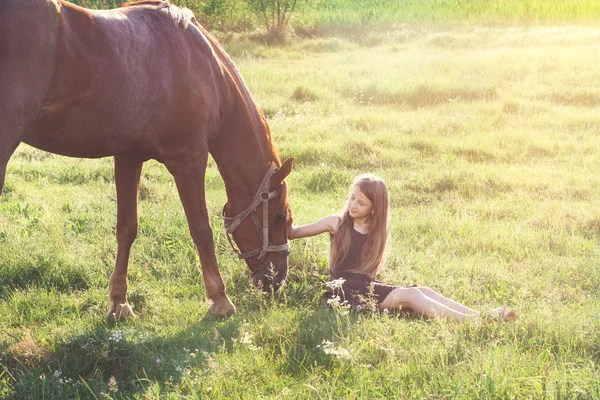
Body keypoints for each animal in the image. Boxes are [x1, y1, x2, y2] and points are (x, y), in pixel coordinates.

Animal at [0, 0, 294, 318]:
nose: (278, 278)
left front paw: (119, 302)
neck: (206, 68)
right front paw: (220, 299)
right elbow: (201, 229)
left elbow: (126, 228)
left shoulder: (128, 157)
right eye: (280, 217)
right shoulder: (189, 161)